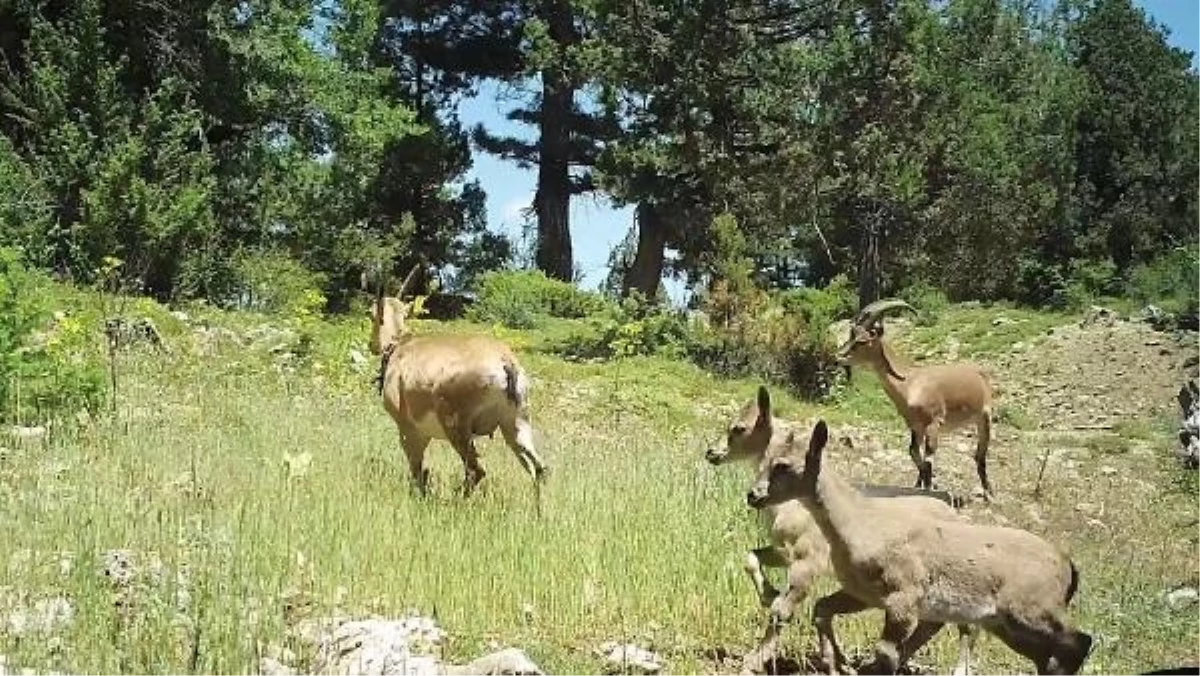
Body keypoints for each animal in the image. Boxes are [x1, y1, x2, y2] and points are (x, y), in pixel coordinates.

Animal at [364, 265, 549, 497]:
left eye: (370, 314)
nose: (371, 345)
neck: (399, 347)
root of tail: (505, 362)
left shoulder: (409, 430)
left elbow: (417, 469)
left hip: (457, 428)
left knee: (476, 470)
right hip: (515, 424)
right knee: (539, 468)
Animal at [700, 389, 974, 672]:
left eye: (739, 428)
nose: (711, 452)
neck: (792, 509)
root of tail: (956, 514)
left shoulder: (808, 560)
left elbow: (783, 610)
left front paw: (755, 659)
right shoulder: (785, 552)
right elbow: (752, 558)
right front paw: (768, 594)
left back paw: (959, 668)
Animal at [748, 422, 1099, 676]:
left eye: (783, 465)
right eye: (765, 460)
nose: (753, 495)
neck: (860, 523)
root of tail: (1068, 567)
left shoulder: (903, 597)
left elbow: (886, 654)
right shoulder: (865, 595)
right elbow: (823, 609)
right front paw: (836, 665)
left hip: (1031, 610)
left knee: (1079, 642)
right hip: (1006, 624)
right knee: (1049, 653)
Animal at [835, 298, 993, 499]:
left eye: (862, 340)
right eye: (851, 336)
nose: (838, 358)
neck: (910, 383)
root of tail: (979, 373)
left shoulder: (934, 423)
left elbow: (928, 458)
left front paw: (929, 489)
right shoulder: (916, 426)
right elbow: (914, 453)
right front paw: (922, 485)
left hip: (984, 417)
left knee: (980, 455)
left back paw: (989, 493)